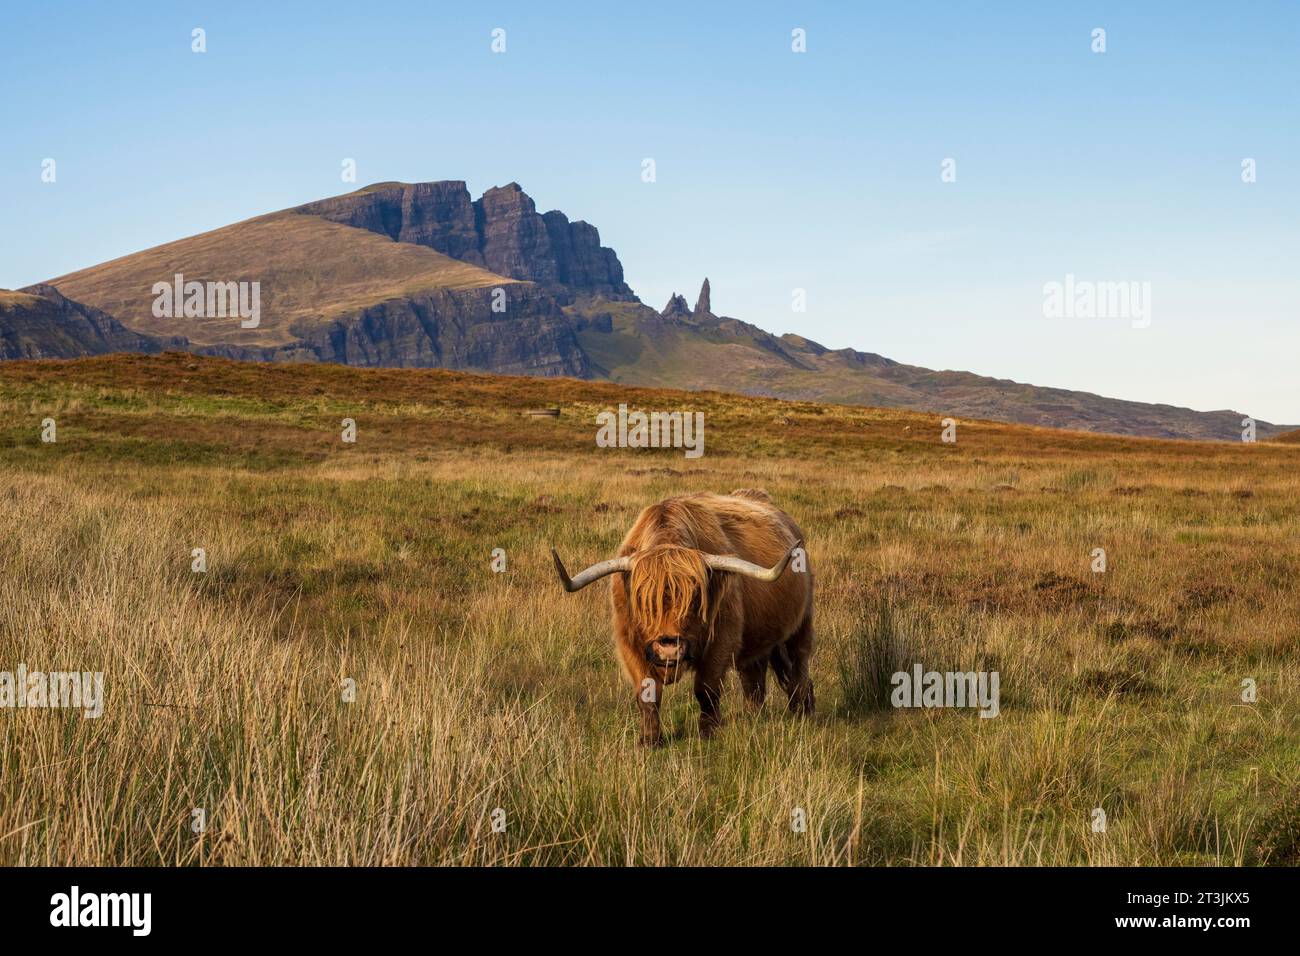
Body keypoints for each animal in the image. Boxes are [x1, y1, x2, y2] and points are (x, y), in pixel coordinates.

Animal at [551, 489, 813, 746]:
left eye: (696, 597)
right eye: (643, 600)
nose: (669, 648)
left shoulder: (722, 639)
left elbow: (706, 689)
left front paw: (708, 733)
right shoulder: (629, 644)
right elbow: (648, 694)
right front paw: (650, 740)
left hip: (803, 623)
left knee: (799, 664)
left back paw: (803, 709)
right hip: (756, 640)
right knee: (753, 677)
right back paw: (754, 716)